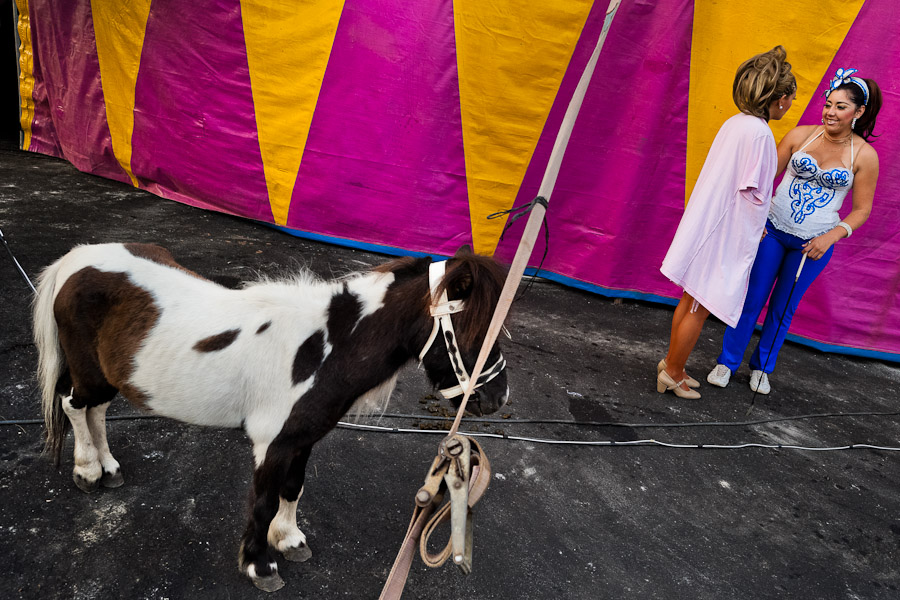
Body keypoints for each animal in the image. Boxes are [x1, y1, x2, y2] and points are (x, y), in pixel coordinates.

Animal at [31, 243, 510, 592]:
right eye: (472, 332)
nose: (498, 398)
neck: (321, 348)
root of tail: (76, 259)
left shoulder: (302, 438)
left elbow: (292, 489)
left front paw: (290, 540)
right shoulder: (270, 442)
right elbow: (261, 502)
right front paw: (260, 566)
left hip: (106, 375)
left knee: (97, 409)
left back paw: (109, 467)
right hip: (88, 372)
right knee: (74, 405)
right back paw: (88, 470)